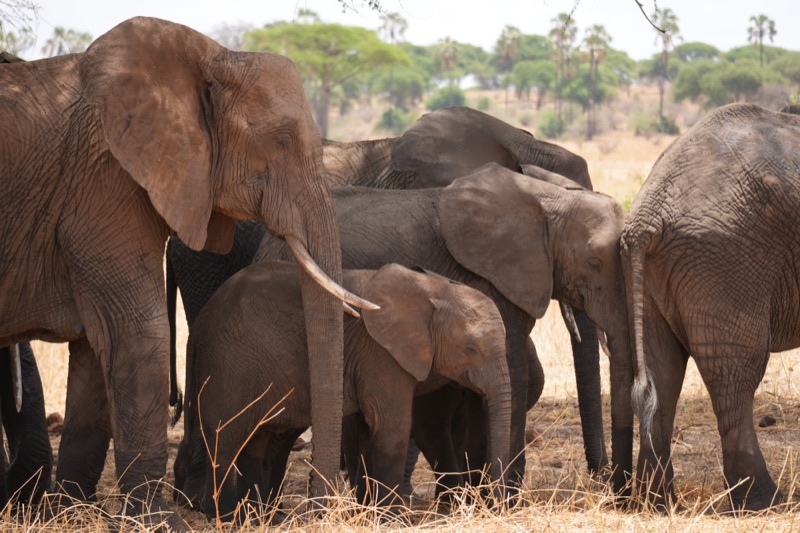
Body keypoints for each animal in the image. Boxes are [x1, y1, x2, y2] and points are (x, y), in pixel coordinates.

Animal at [174, 261, 511, 521]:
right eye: (471, 350)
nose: (495, 505)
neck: (434, 289)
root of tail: (199, 326)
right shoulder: (380, 354)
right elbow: (392, 425)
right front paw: (393, 519)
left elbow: (366, 429)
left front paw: (367, 511)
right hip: (228, 369)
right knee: (226, 440)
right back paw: (226, 515)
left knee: (254, 441)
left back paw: (258, 517)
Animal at [254, 162, 631, 494]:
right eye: (594, 263)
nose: (605, 480)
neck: (547, 199)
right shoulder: (488, 278)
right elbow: (514, 375)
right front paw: (503, 496)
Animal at [619, 103, 800, 511]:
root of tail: (646, 216)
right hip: (726, 258)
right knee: (735, 376)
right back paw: (762, 502)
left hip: (658, 277)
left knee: (663, 374)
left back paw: (657, 503)